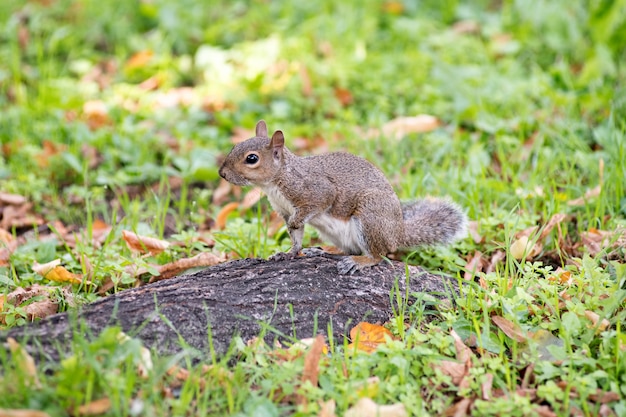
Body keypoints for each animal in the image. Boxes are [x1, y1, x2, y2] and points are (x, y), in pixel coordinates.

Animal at [217, 119, 466, 272]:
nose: (222, 173)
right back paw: (324, 253)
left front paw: (296, 226)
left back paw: (359, 261)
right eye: (234, 147)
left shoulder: (316, 191)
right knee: (349, 249)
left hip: (370, 217)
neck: (276, 182)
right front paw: (289, 253)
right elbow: (296, 237)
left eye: (252, 158)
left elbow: (314, 207)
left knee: (378, 255)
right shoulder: (284, 209)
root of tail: (398, 233)